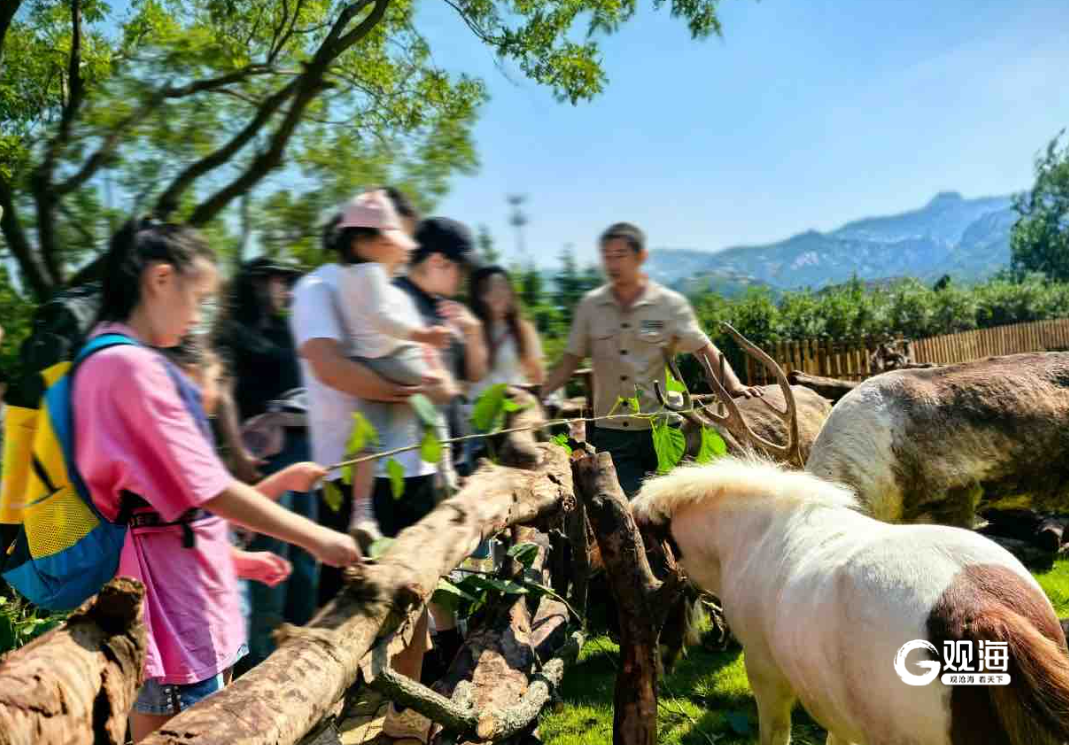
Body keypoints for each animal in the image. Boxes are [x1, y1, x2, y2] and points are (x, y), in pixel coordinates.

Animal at [628, 455, 1069, 739]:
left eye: (645, 555)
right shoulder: (837, 710)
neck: (752, 532)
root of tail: (976, 608)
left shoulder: (766, 674)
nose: (659, 658)